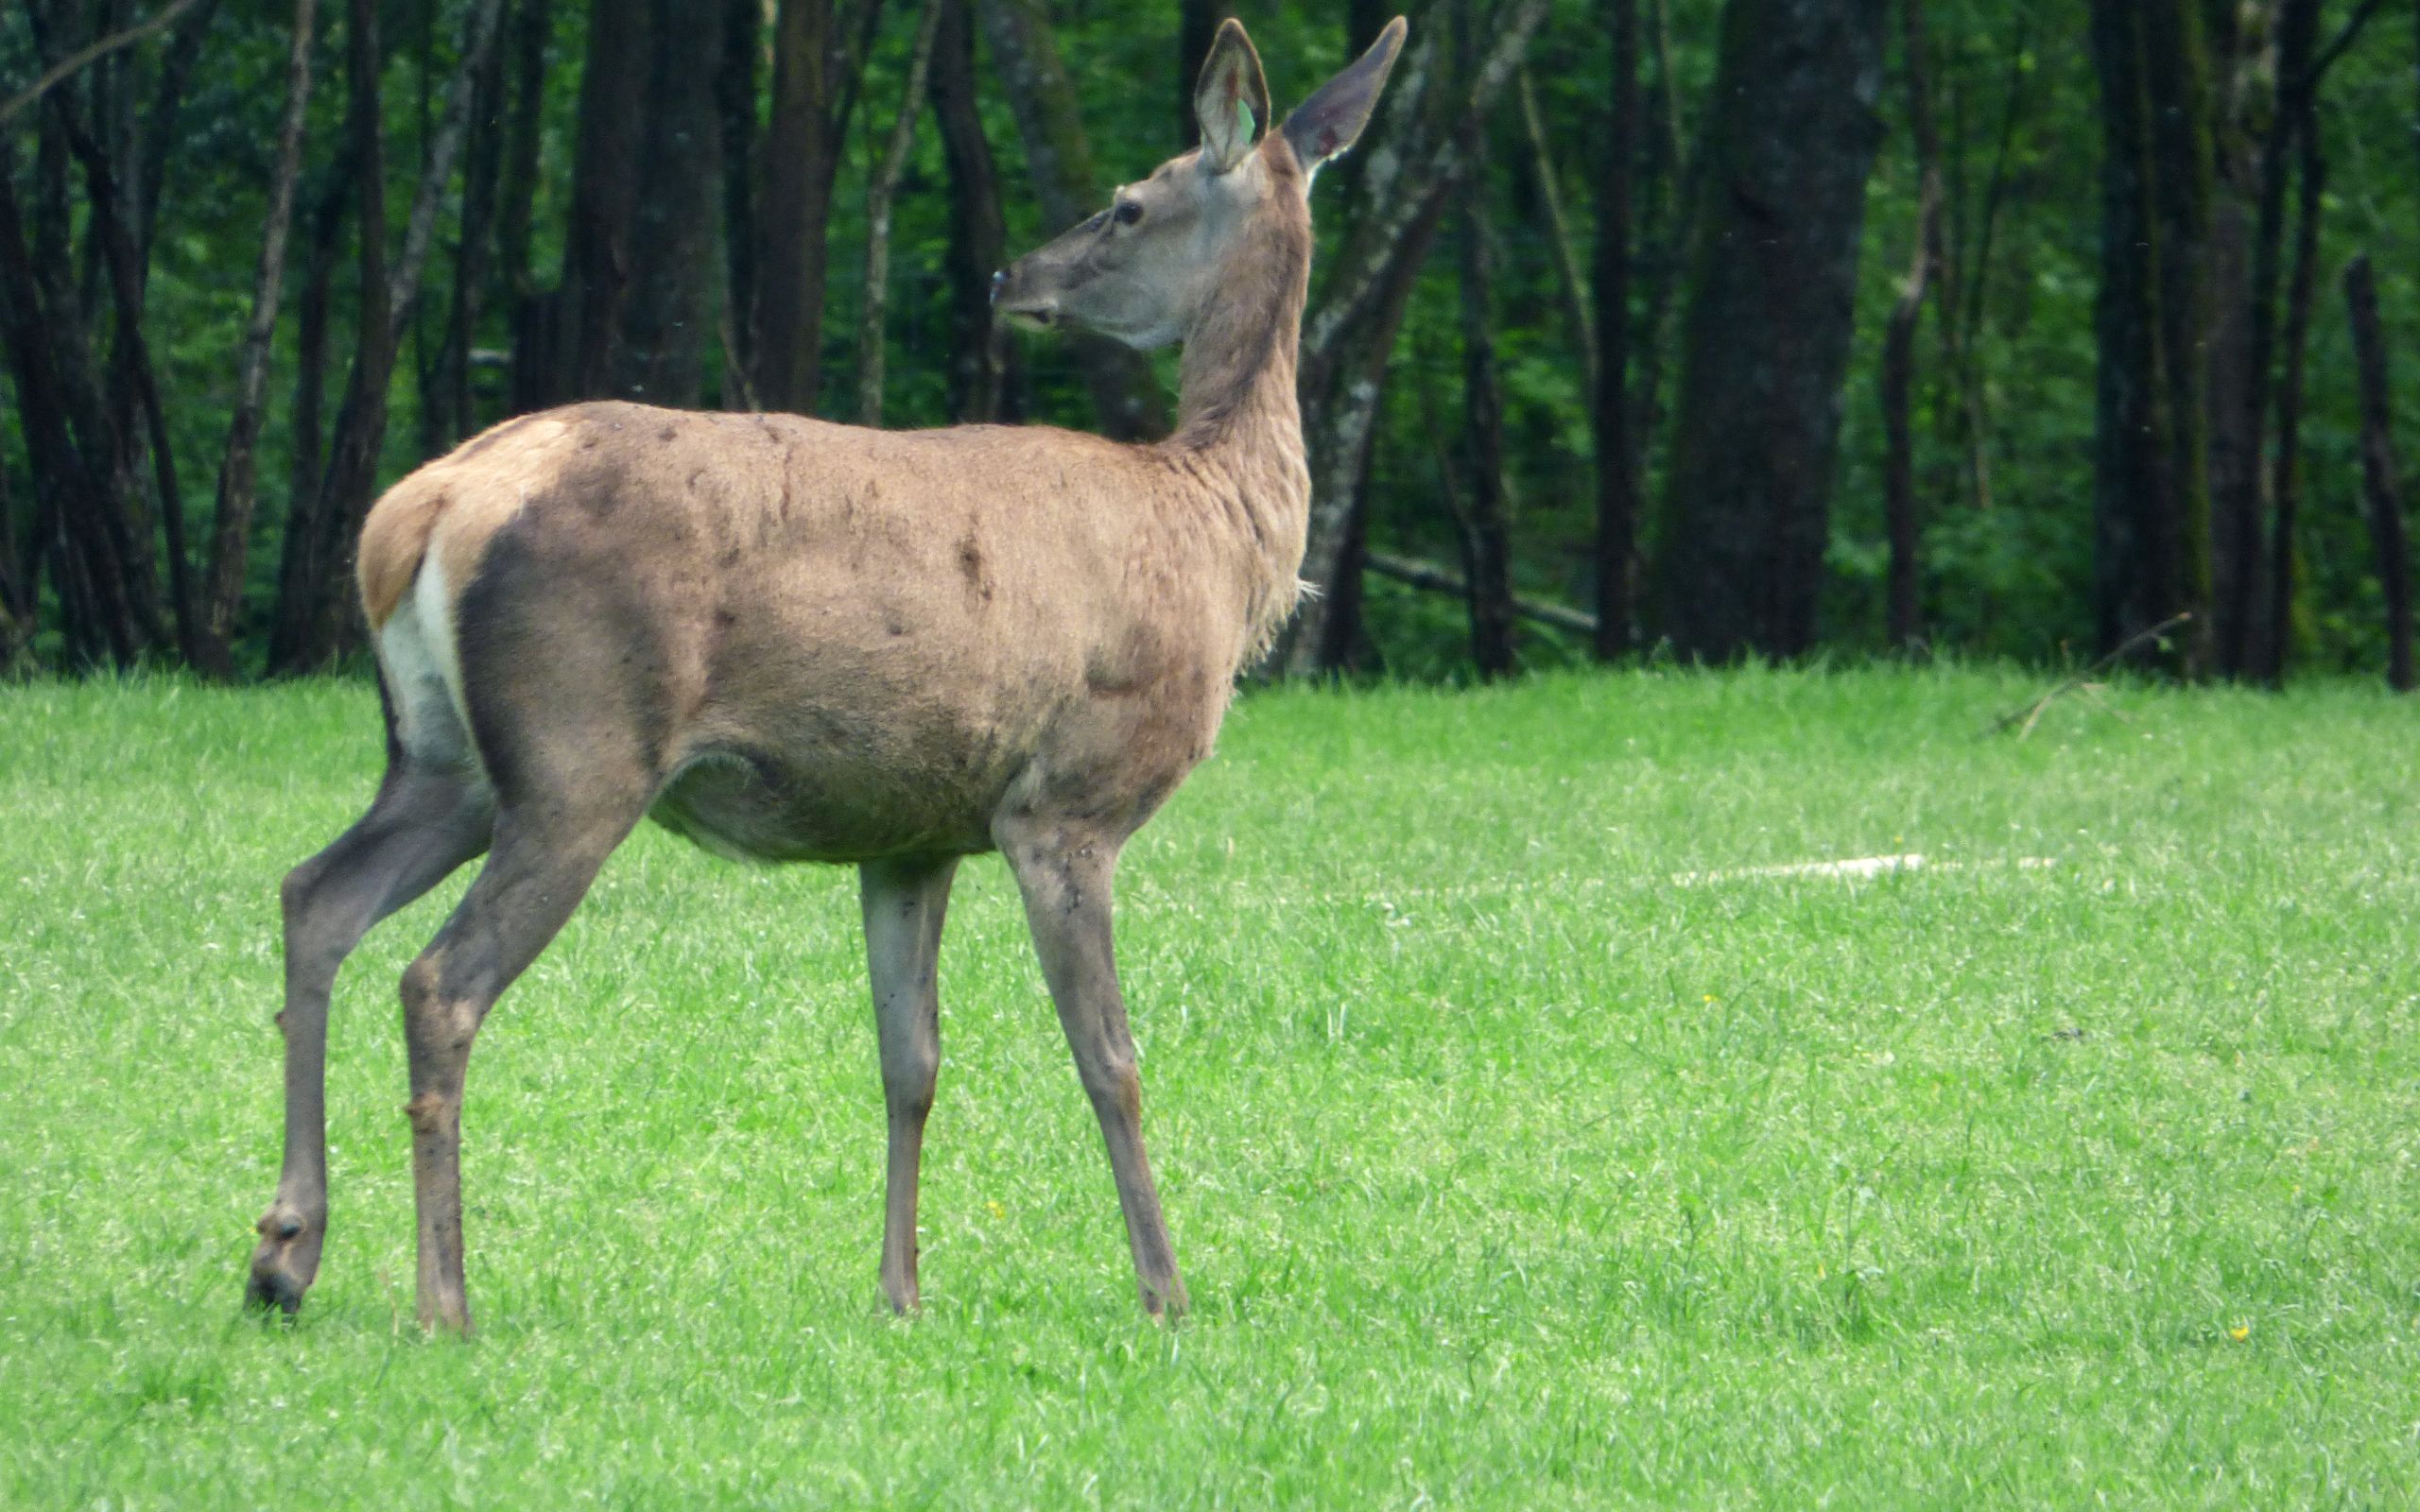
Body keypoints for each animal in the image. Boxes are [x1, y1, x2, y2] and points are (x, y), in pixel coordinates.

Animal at [245, 14, 1413, 1335]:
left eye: (1124, 205)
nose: (1013, 278)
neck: (1217, 535)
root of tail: (420, 510)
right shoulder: (1064, 802)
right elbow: (1108, 1057)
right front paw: (1165, 1287)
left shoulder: (914, 826)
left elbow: (911, 1059)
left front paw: (899, 1288)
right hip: (579, 747)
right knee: (439, 979)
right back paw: (443, 1297)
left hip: (445, 756)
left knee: (316, 895)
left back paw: (283, 1251)